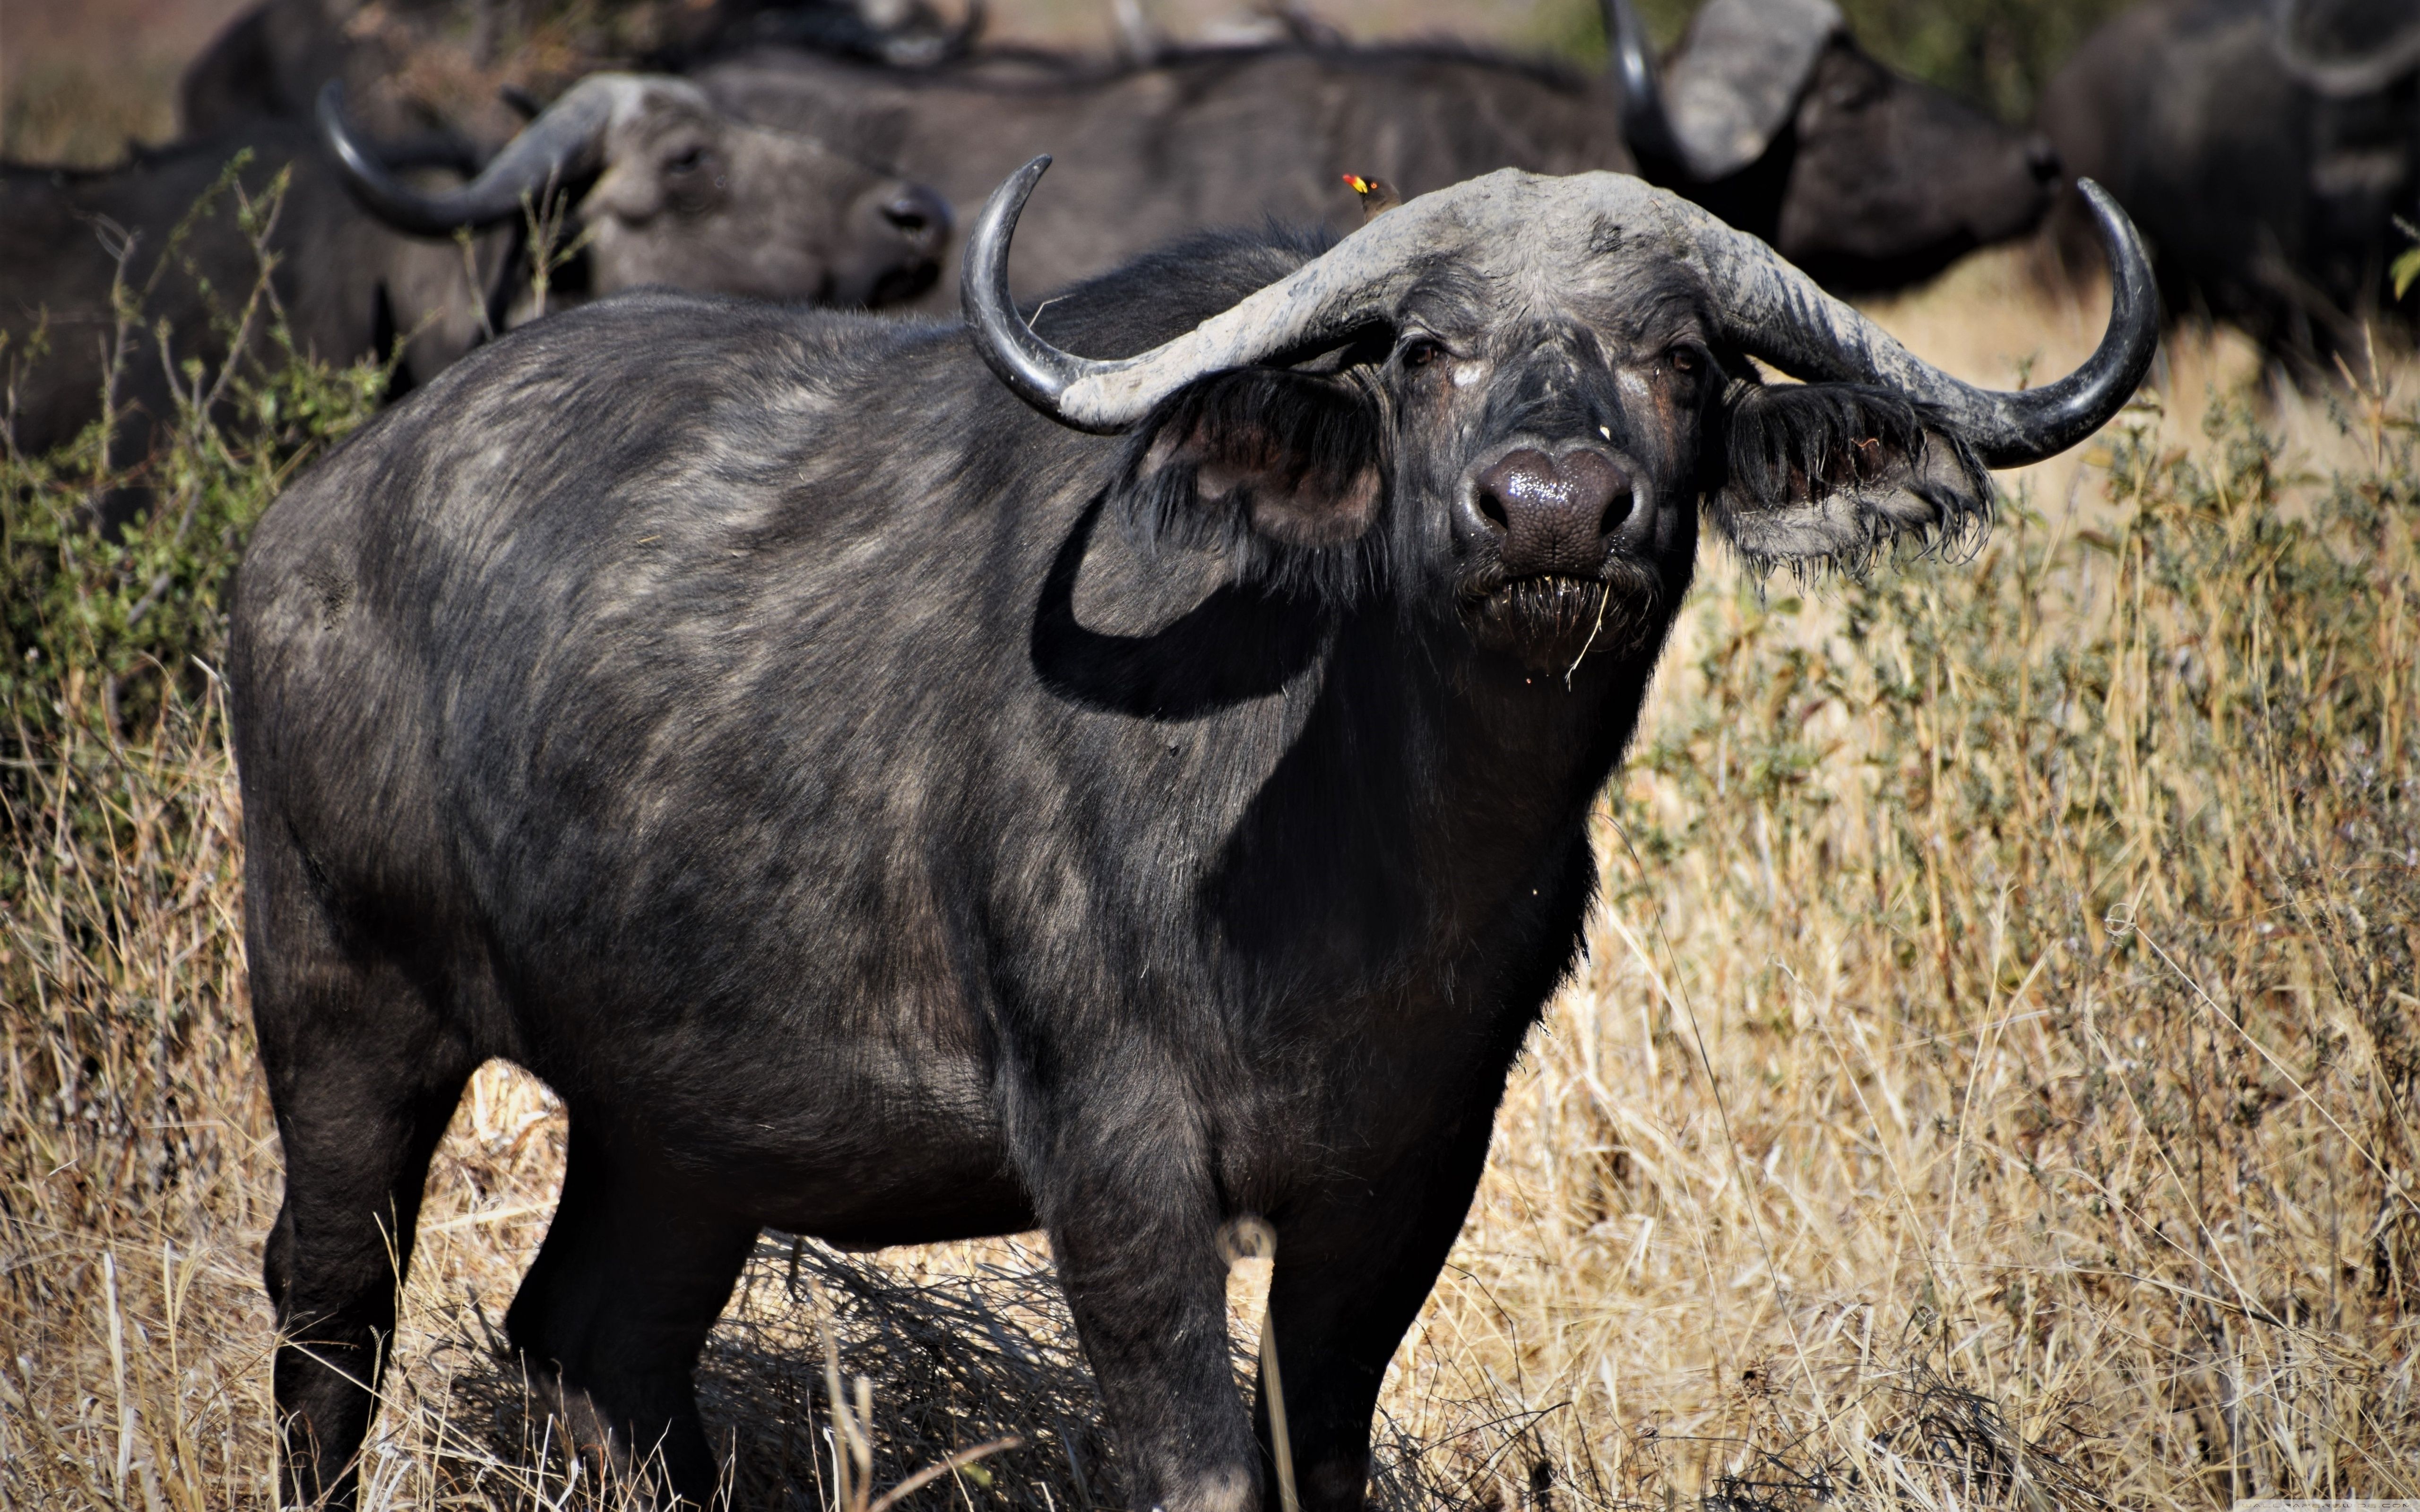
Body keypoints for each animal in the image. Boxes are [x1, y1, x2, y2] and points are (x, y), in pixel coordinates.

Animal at [231, 156, 2159, 1509]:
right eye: (1419, 351)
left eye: (1678, 354)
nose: (1551, 508)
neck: (1362, 852)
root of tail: (311, 522)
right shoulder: (1114, 1154)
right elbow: (1191, 1461)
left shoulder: (1410, 1167)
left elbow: (1319, 1452)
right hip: (340, 998)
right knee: (327, 1308)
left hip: (679, 1122)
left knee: (595, 1346)